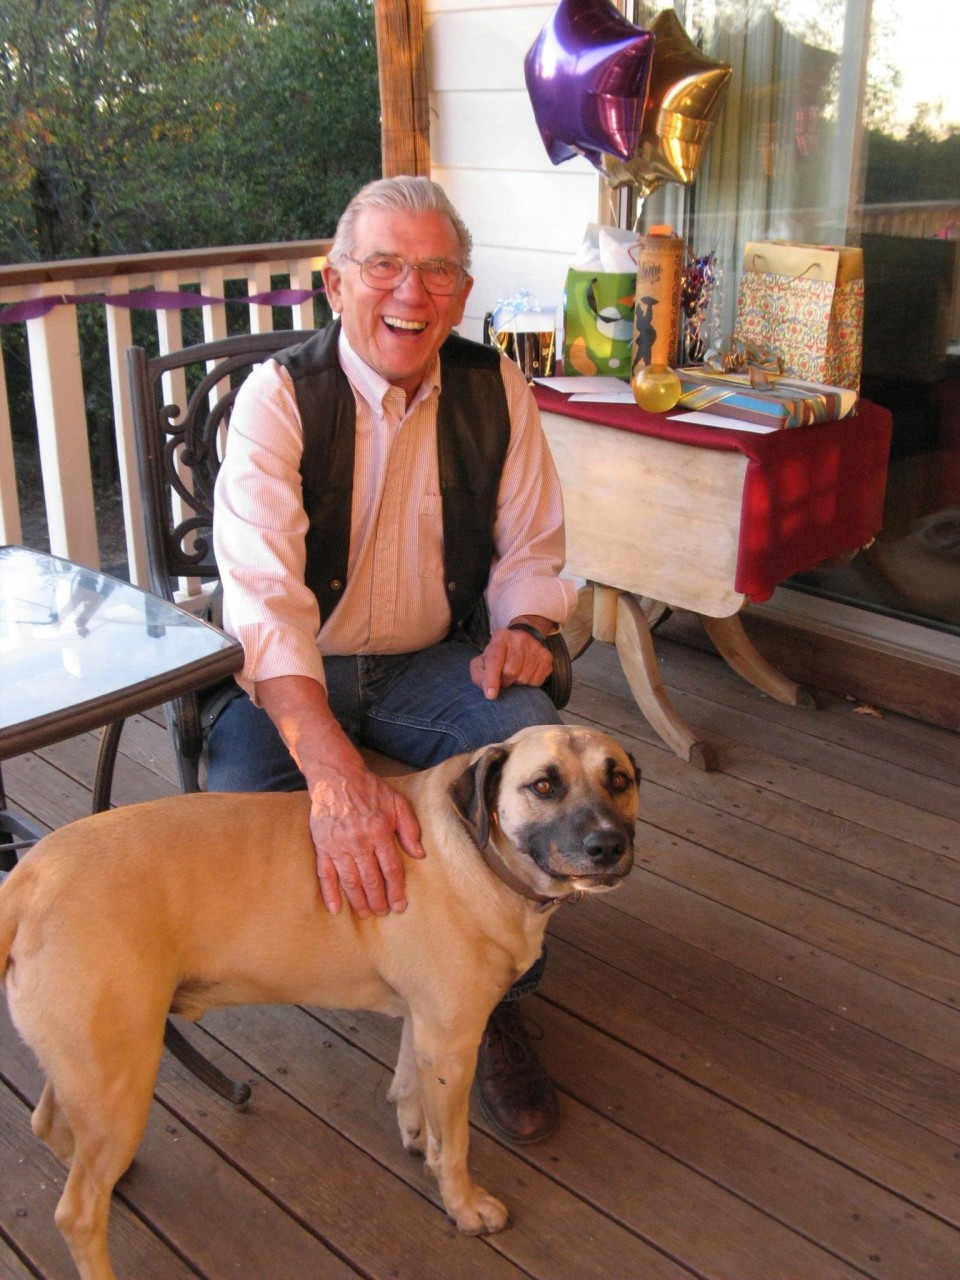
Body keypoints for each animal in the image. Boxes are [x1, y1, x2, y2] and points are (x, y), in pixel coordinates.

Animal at [1, 724, 639, 1280]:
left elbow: (409, 1086)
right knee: (77, 1212)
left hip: (93, 1065)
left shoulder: (428, 1026)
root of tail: (27, 876)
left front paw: (415, 1133)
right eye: (544, 785)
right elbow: (454, 1143)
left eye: (620, 779)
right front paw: (462, 1203)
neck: (480, 852)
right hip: (122, 1078)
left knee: (48, 1123)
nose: (609, 845)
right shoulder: (454, 1041)